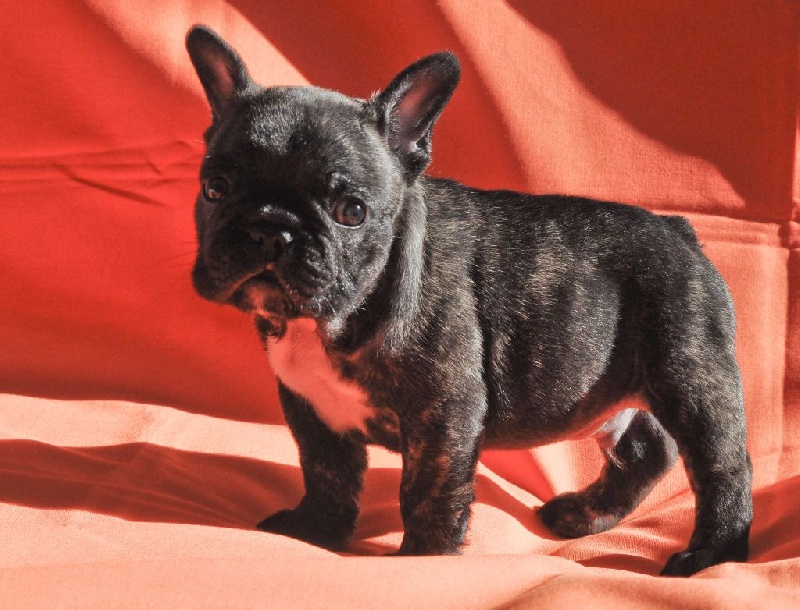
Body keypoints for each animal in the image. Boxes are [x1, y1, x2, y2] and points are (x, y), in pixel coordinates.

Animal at [185, 25, 752, 576]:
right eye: (215, 187)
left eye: (352, 211)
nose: (270, 229)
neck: (329, 323)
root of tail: (680, 232)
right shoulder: (312, 407)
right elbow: (326, 474)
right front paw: (314, 532)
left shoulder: (445, 411)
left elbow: (428, 491)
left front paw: (425, 559)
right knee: (644, 451)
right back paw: (585, 514)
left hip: (691, 373)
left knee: (722, 465)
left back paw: (710, 554)